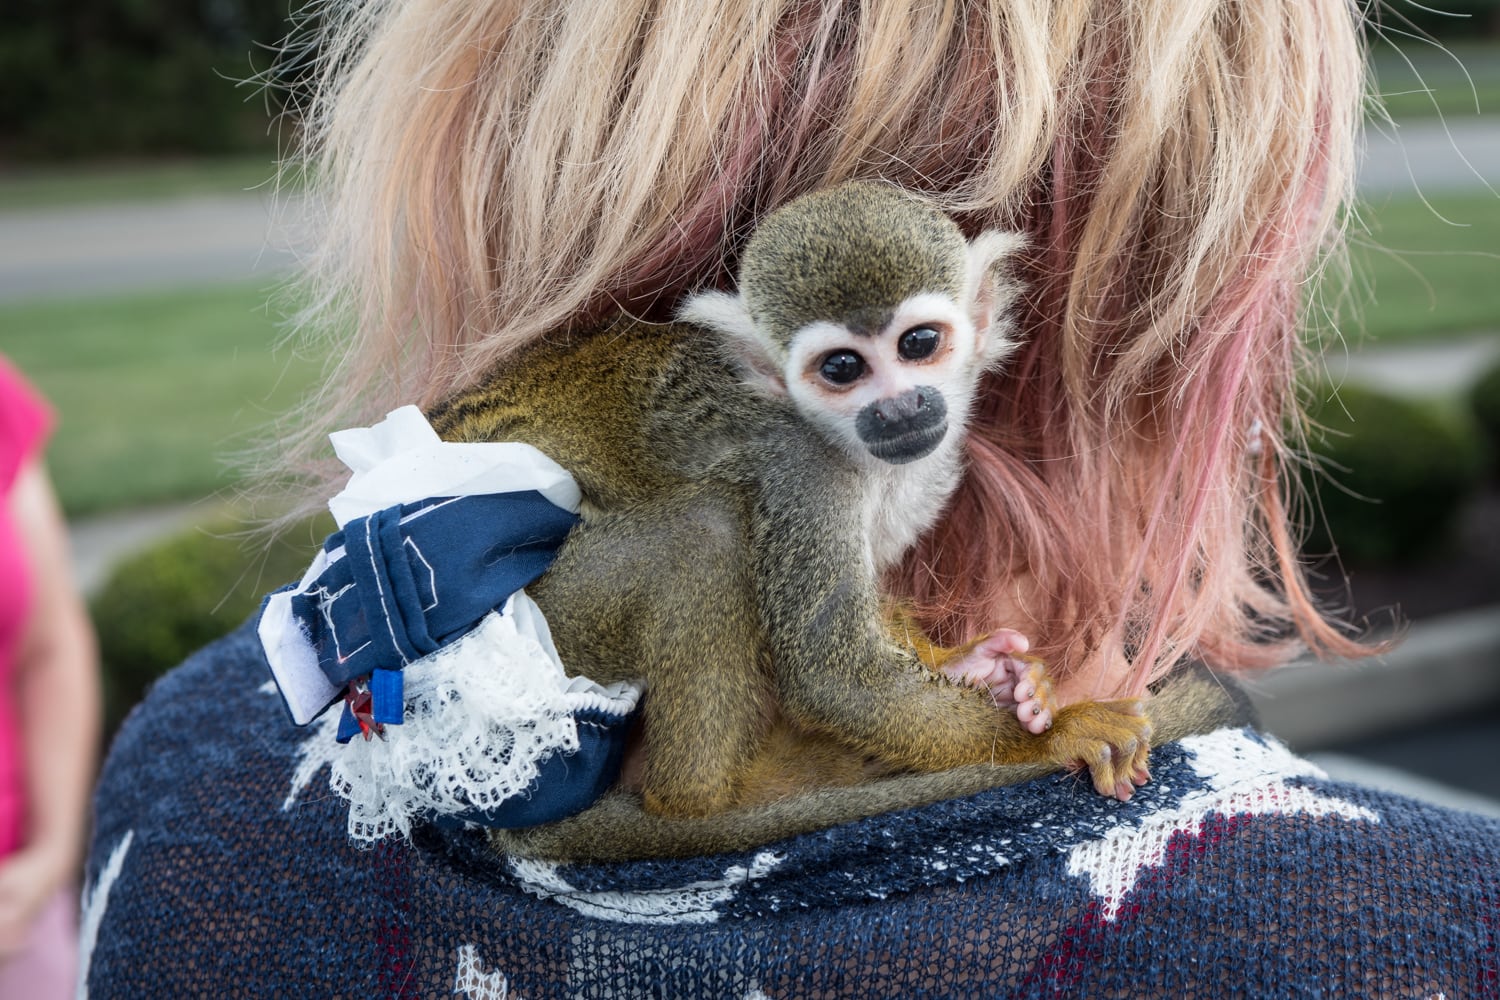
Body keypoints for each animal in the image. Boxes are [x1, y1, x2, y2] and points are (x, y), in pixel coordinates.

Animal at [429, 182, 1152, 851]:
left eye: (919, 343)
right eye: (842, 367)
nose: (899, 408)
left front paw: (981, 671)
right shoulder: (801, 471)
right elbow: (835, 676)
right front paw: (1052, 738)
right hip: (554, 629)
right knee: (706, 533)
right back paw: (703, 797)